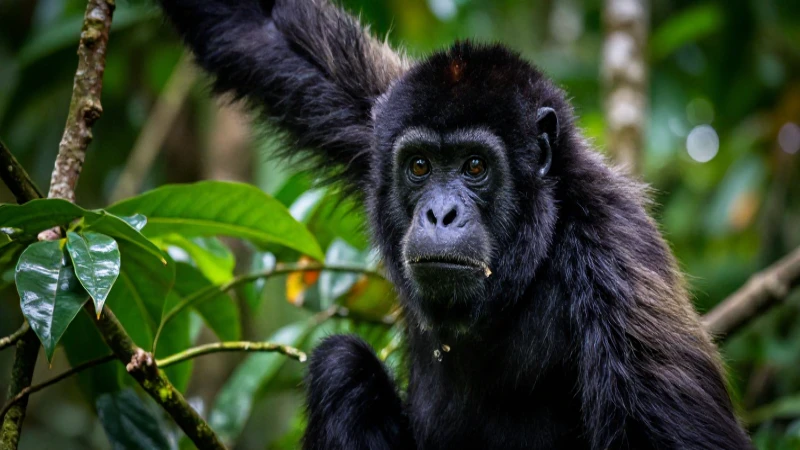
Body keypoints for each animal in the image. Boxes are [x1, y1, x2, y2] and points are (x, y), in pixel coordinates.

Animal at [156, 0, 754, 449]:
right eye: (420, 165)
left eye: (475, 166)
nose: (440, 213)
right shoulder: (374, 116)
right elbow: (263, 31)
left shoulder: (617, 262)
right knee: (341, 365)